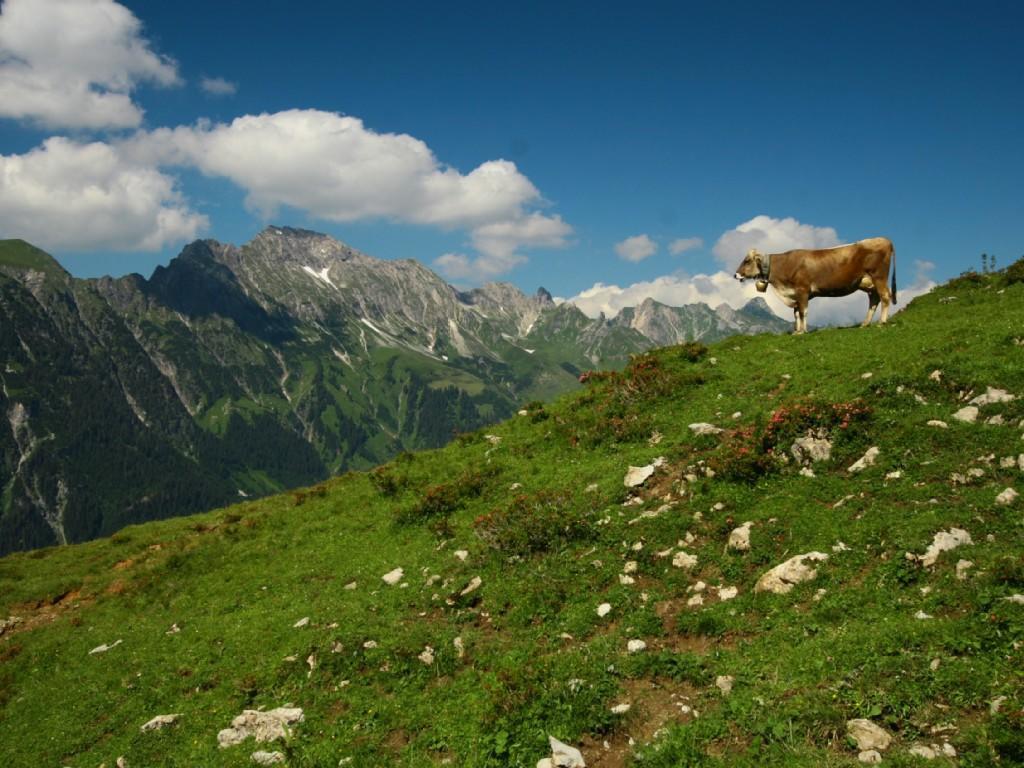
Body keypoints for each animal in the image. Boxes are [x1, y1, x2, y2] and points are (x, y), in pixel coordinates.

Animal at [729, 237, 897, 333]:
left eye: (747, 261)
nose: (735, 275)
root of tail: (885, 240)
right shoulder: (795, 294)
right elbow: (796, 313)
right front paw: (796, 331)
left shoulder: (802, 290)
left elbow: (803, 312)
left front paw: (803, 331)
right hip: (868, 283)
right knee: (874, 299)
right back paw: (865, 323)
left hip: (879, 277)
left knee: (885, 296)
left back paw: (881, 322)